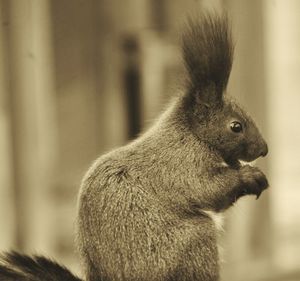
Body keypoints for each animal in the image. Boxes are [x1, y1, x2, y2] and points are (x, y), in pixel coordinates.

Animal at [0, 12, 268, 280]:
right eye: (236, 126)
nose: (264, 150)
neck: (192, 134)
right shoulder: (181, 165)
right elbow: (208, 189)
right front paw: (250, 177)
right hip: (194, 240)